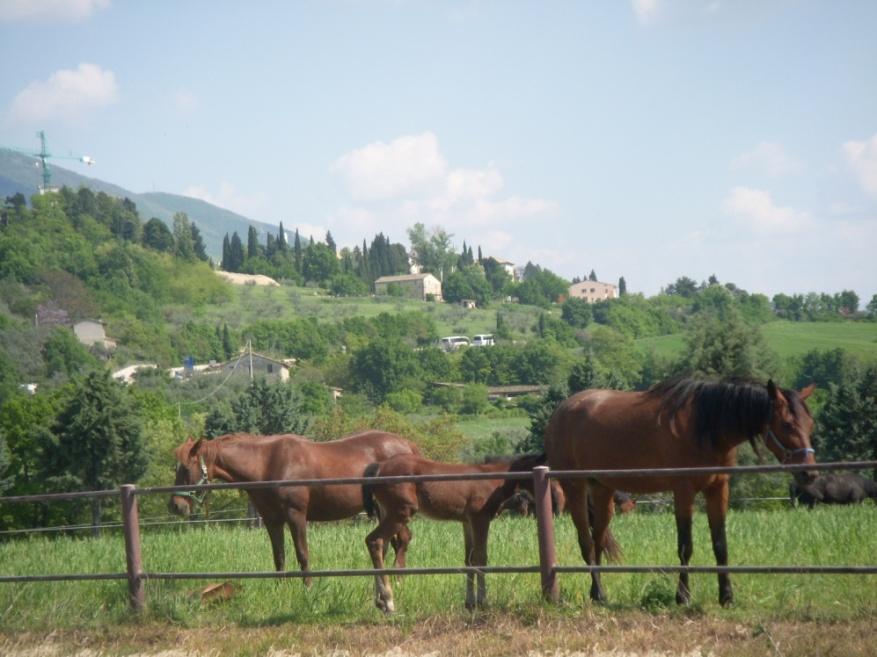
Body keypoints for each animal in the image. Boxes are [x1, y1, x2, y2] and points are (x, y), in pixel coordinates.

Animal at [169, 434, 422, 580]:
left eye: (185, 468)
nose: (175, 506)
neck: (267, 463)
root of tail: (407, 446)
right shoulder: (272, 521)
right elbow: (279, 557)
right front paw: (280, 586)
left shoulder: (296, 516)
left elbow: (302, 554)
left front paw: (307, 589)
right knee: (395, 542)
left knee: (401, 540)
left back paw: (397, 578)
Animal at [360, 452, 544, 608]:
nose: (535, 504)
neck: (492, 479)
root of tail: (380, 467)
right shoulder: (480, 519)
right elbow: (481, 557)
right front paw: (482, 601)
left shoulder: (467, 522)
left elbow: (469, 559)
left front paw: (470, 602)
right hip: (401, 512)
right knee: (374, 541)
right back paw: (388, 601)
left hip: (386, 512)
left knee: (382, 547)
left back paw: (380, 601)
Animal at [544, 376, 816, 608]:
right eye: (787, 424)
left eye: (810, 423)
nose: (809, 473)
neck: (705, 426)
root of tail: (561, 411)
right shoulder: (684, 491)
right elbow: (685, 546)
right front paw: (683, 596)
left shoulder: (718, 489)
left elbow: (721, 545)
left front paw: (726, 596)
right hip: (575, 487)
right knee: (586, 542)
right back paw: (598, 593)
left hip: (602, 489)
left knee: (598, 541)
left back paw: (598, 594)